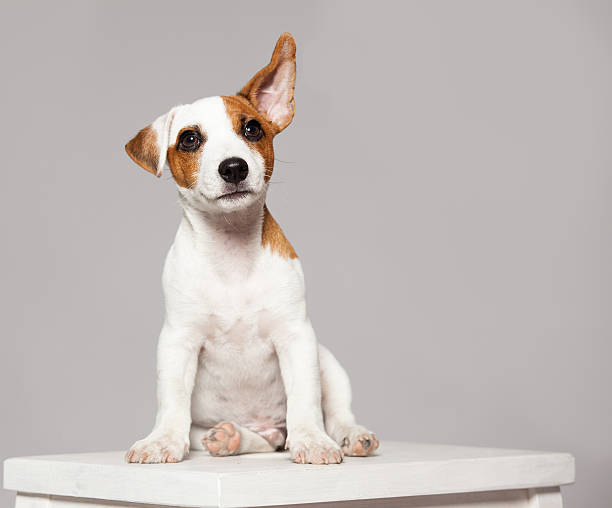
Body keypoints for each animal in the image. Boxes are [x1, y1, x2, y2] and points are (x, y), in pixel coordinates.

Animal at [124, 33, 378, 466]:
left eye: (252, 128)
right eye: (189, 139)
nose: (233, 167)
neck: (231, 249)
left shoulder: (296, 335)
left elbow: (306, 400)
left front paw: (313, 440)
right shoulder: (178, 339)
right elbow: (172, 400)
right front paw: (161, 440)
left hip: (327, 360)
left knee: (335, 411)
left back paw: (350, 435)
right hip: (210, 429)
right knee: (257, 440)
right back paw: (232, 438)